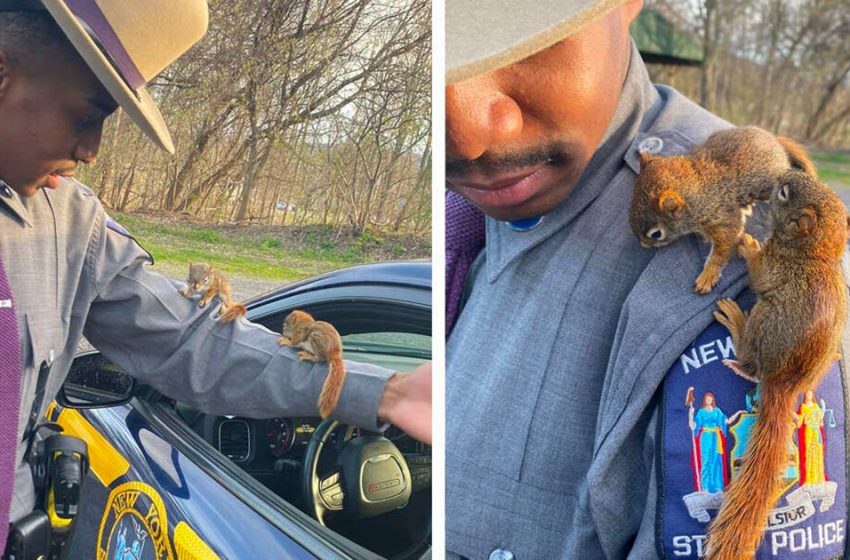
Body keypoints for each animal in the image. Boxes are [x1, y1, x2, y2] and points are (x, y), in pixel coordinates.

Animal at [628, 125, 816, 296]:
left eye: (656, 234)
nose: (643, 245)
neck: (697, 188)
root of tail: (775, 140)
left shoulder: (723, 216)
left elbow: (723, 247)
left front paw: (708, 276)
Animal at [704, 172, 848, 560]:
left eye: (784, 194)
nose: (778, 178)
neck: (814, 250)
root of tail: (785, 383)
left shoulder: (776, 265)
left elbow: (758, 271)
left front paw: (749, 244)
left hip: (763, 318)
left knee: (750, 364)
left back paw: (735, 321)